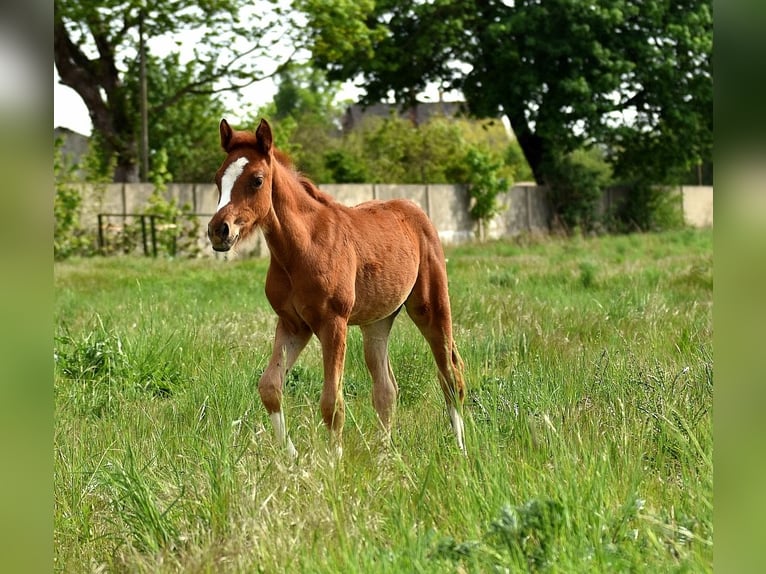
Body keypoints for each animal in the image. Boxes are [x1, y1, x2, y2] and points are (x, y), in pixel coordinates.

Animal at [207, 118, 464, 460]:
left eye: (257, 180)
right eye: (218, 179)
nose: (218, 230)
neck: (301, 249)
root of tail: (415, 210)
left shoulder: (333, 323)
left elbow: (332, 402)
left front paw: (334, 463)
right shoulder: (294, 324)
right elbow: (270, 386)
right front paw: (292, 459)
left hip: (431, 307)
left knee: (450, 374)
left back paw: (461, 450)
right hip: (376, 322)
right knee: (386, 389)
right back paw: (383, 457)